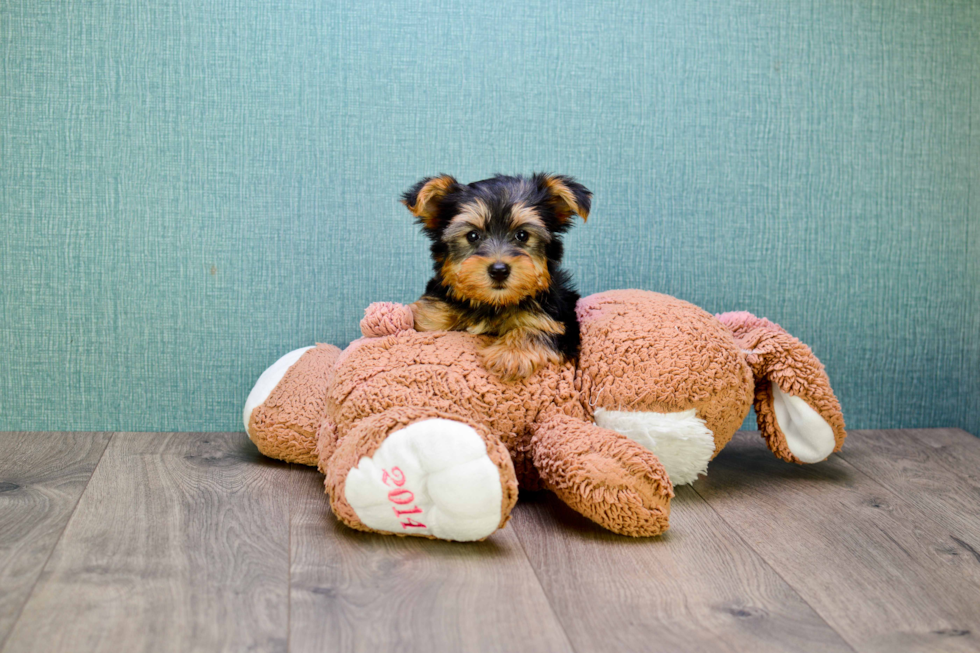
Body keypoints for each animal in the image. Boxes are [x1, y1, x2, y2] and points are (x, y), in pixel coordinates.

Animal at [404, 172, 592, 382]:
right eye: (472, 236)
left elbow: (541, 328)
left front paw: (510, 355)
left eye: (522, 235)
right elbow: (430, 319)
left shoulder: (563, 323)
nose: (499, 270)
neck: (493, 303)